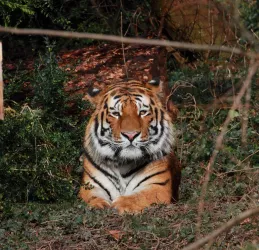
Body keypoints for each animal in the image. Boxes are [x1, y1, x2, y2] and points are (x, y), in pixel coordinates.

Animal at [78, 79, 182, 213]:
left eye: (142, 112)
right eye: (116, 113)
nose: (131, 135)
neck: (123, 162)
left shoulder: (157, 186)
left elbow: (139, 196)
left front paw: (120, 203)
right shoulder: (90, 186)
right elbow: (92, 197)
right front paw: (98, 205)